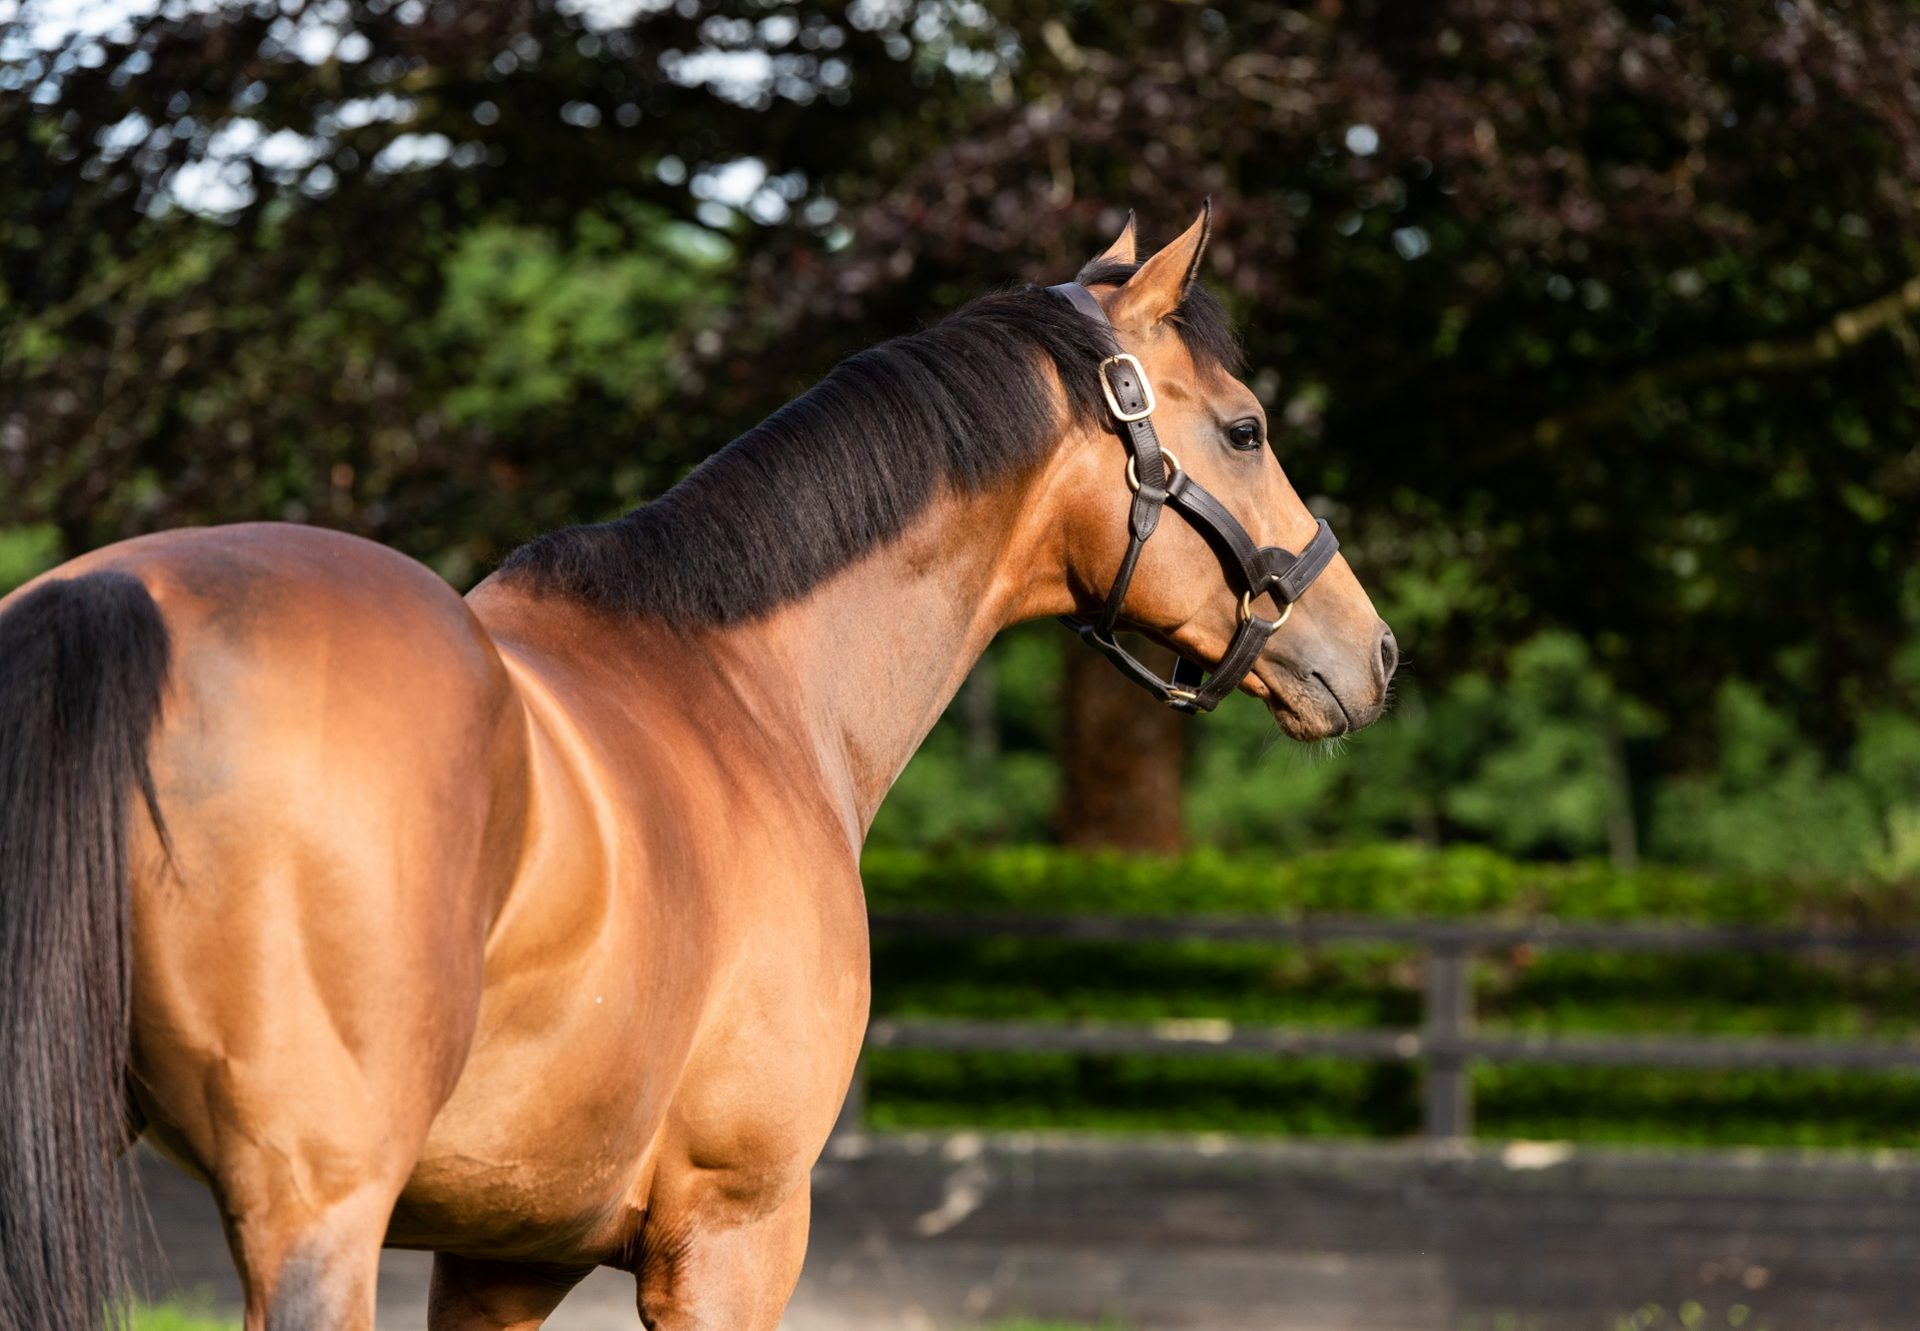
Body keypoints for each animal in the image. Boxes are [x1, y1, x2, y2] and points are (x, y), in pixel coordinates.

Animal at [0, 207, 1390, 1329]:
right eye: (1247, 427)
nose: (1371, 649)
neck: (751, 685)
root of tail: (107, 603)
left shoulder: (502, 1252)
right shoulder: (736, 1231)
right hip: (317, 1217)